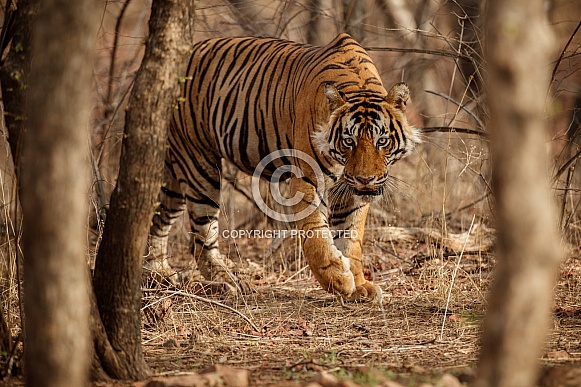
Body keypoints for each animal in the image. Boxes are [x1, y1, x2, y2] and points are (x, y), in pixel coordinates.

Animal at [144, 32, 416, 304]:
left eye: (382, 141)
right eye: (349, 141)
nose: (365, 179)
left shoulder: (350, 192)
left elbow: (350, 238)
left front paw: (359, 285)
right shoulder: (308, 179)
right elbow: (316, 235)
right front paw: (338, 279)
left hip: (174, 174)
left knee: (158, 219)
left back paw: (159, 273)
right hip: (199, 165)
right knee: (201, 237)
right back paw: (229, 282)